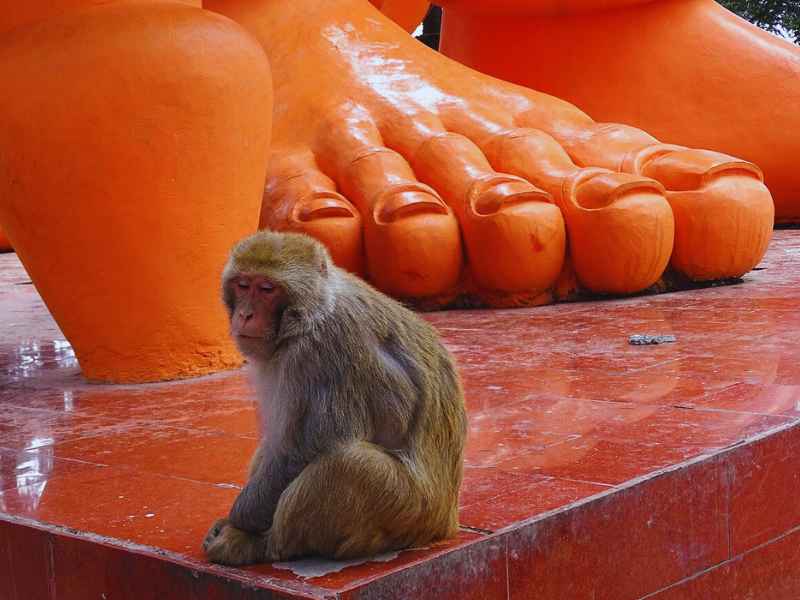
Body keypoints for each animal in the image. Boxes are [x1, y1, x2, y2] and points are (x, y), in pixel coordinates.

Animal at [200, 231, 472, 568]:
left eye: (266, 289)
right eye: (242, 284)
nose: (245, 314)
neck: (313, 310)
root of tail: (447, 521)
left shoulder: (323, 351)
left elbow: (307, 447)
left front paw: (239, 522)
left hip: (410, 510)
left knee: (346, 464)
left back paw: (263, 545)